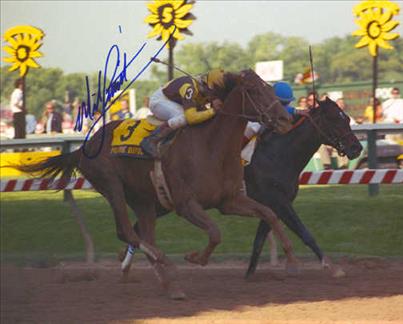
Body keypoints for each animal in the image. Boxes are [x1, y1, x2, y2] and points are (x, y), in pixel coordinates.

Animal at [15, 70, 296, 298]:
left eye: (271, 89)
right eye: (254, 91)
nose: (285, 120)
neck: (211, 147)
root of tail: (85, 146)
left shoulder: (230, 201)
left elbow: (270, 214)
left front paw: (290, 262)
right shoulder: (185, 204)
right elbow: (216, 233)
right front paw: (194, 257)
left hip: (144, 200)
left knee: (143, 233)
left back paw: (169, 285)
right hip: (112, 187)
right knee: (127, 232)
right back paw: (165, 265)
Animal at [245, 97, 364, 278]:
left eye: (347, 119)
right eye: (334, 119)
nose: (357, 147)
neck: (276, 155)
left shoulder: (271, 205)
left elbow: (258, 241)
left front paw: (249, 274)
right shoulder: (278, 201)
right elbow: (305, 233)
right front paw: (332, 266)